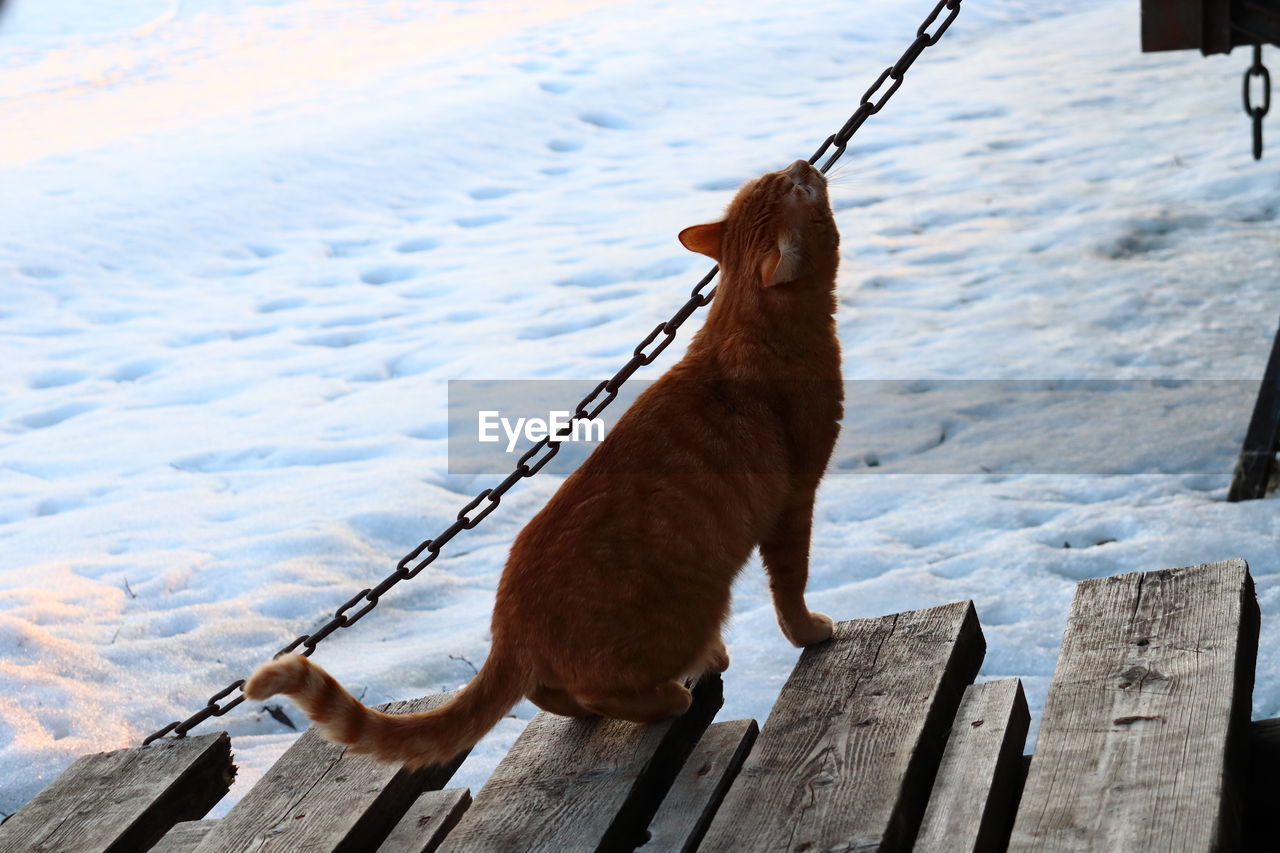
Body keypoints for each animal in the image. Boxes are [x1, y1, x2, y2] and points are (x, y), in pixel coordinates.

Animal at [247, 157, 849, 763]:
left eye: (776, 177)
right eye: (797, 187)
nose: (803, 162)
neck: (740, 320)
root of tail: (508, 628)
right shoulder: (795, 500)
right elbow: (790, 584)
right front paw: (808, 631)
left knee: (548, 694)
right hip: (693, 609)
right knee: (601, 691)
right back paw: (672, 695)